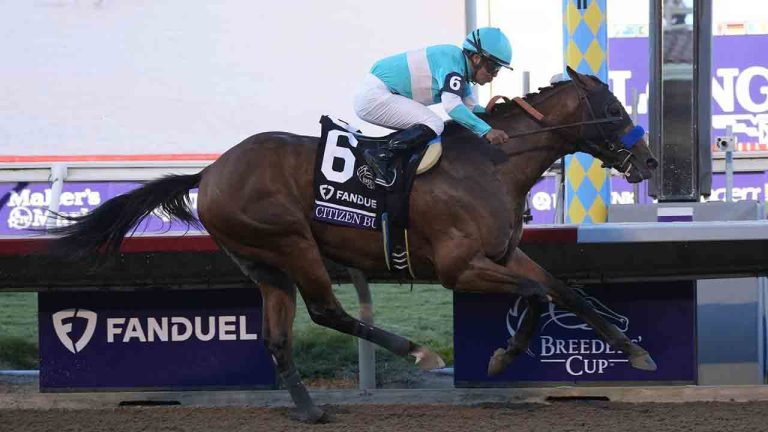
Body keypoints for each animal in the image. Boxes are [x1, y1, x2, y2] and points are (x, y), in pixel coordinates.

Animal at [51, 67, 656, 422]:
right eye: (615, 110)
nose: (648, 161)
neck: (490, 163)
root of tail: (210, 172)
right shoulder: (460, 267)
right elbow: (535, 295)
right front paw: (504, 356)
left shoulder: (505, 253)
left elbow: (566, 291)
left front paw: (634, 351)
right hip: (292, 242)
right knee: (327, 311)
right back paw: (417, 351)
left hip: (264, 264)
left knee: (277, 334)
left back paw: (307, 408)